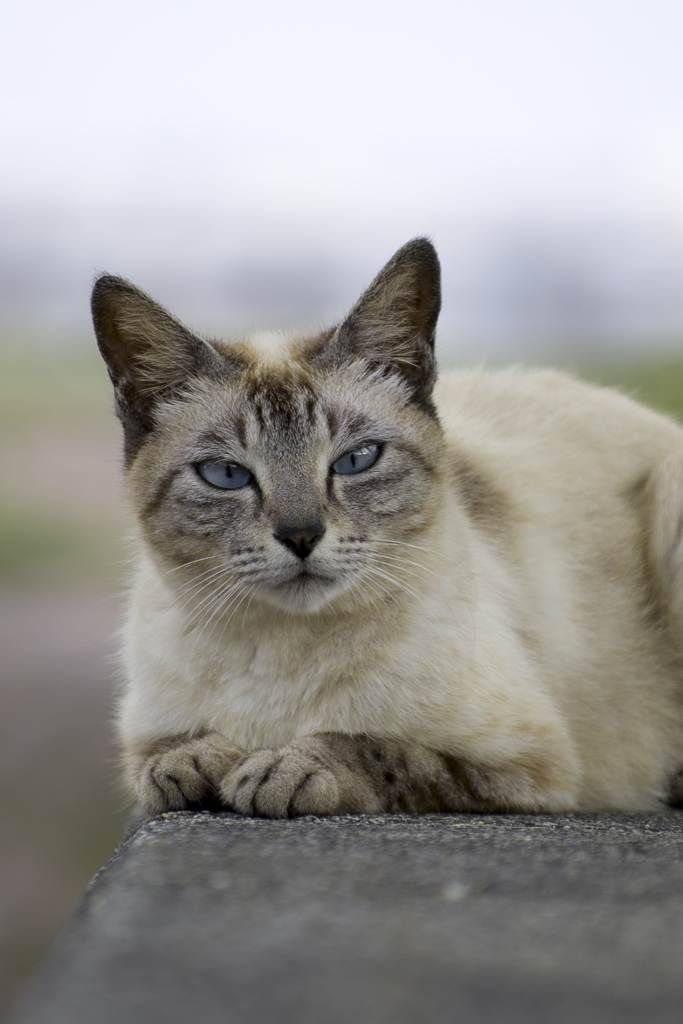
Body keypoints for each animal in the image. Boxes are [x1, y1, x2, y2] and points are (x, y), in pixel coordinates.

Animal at [92, 237, 683, 815]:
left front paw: (281, 771)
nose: (301, 536)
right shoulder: (143, 736)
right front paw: (196, 764)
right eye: (227, 475)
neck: (279, 655)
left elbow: (378, 749)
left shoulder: (529, 767)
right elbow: (164, 762)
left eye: (356, 460)